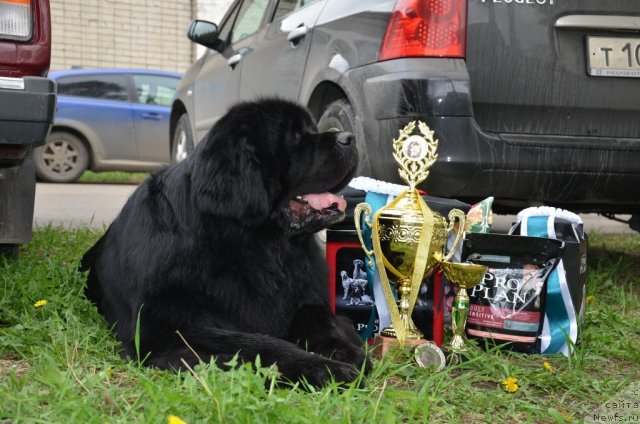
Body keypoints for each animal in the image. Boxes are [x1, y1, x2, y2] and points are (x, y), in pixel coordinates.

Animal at [80, 98, 370, 388]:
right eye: (295, 136)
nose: (350, 137)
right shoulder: (167, 326)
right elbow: (258, 343)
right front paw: (321, 368)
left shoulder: (304, 294)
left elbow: (319, 318)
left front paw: (342, 350)